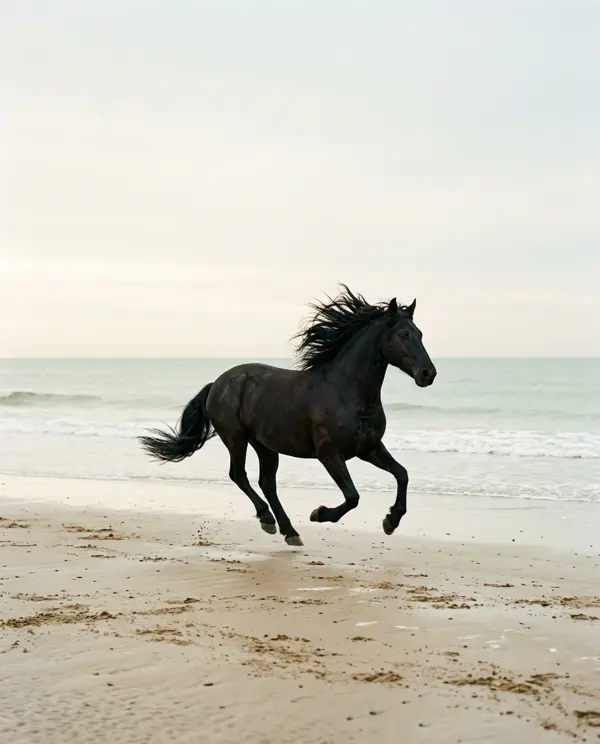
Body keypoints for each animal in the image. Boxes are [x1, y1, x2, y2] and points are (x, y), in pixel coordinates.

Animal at [139, 285, 437, 546]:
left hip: (265, 445)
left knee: (266, 483)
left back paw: (289, 531)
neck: (348, 392)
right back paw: (268, 520)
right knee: (239, 475)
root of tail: (217, 383)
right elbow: (353, 496)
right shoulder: (329, 453)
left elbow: (402, 474)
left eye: (421, 333)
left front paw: (391, 521)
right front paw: (319, 514)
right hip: (236, 438)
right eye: (403, 334)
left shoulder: (368, 447)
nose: (428, 374)